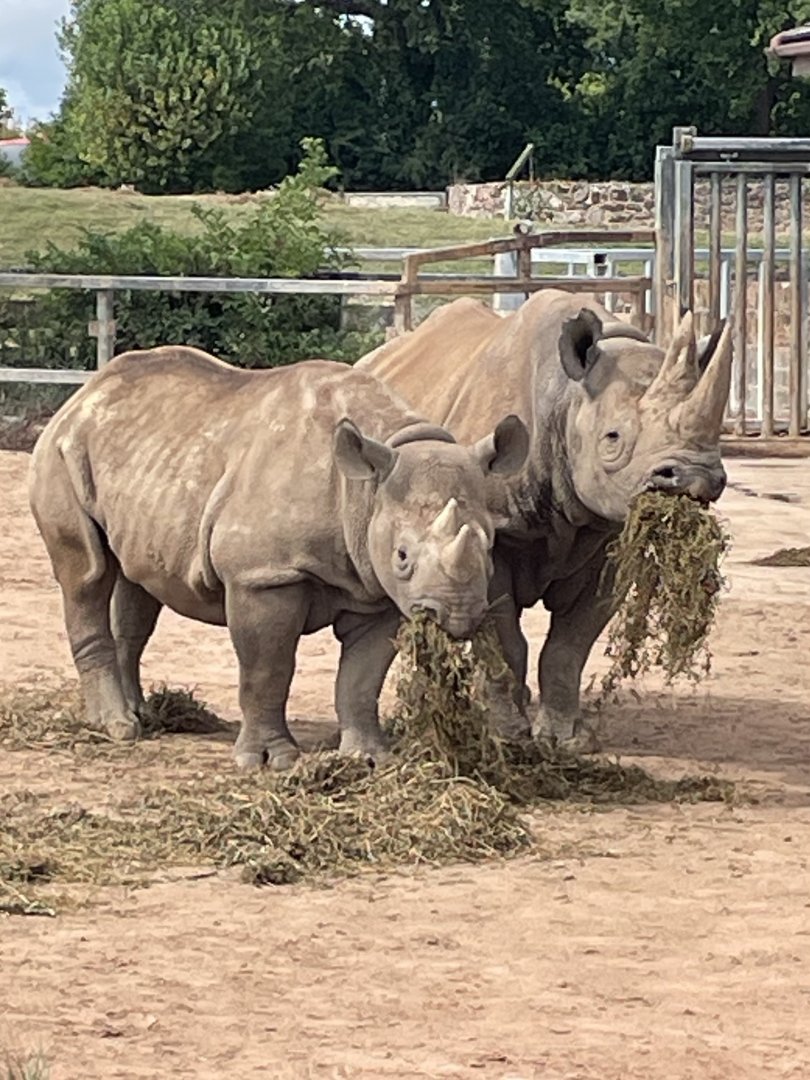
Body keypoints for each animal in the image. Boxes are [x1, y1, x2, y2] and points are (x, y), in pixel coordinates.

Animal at [29, 347, 528, 769]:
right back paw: (117, 727)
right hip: (62, 452)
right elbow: (268, 668)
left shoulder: (378, 590)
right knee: (87, 576)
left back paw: (141, 715)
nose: (456, 616)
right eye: (402, 555)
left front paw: (369, 759)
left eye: (489, 547)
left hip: (142, 460)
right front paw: (272, 762)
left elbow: (361, 679)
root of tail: (81, 395)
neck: (365, 489)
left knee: (136, 582)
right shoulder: (264, 576)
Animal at [356, 288, 732, 745]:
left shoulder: (606, 533)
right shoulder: (494, 531)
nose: (695, 479)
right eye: (612, 439)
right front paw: (508, 734)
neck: (568, 399)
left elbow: (571, 644)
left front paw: (566, 740)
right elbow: (505, 639)